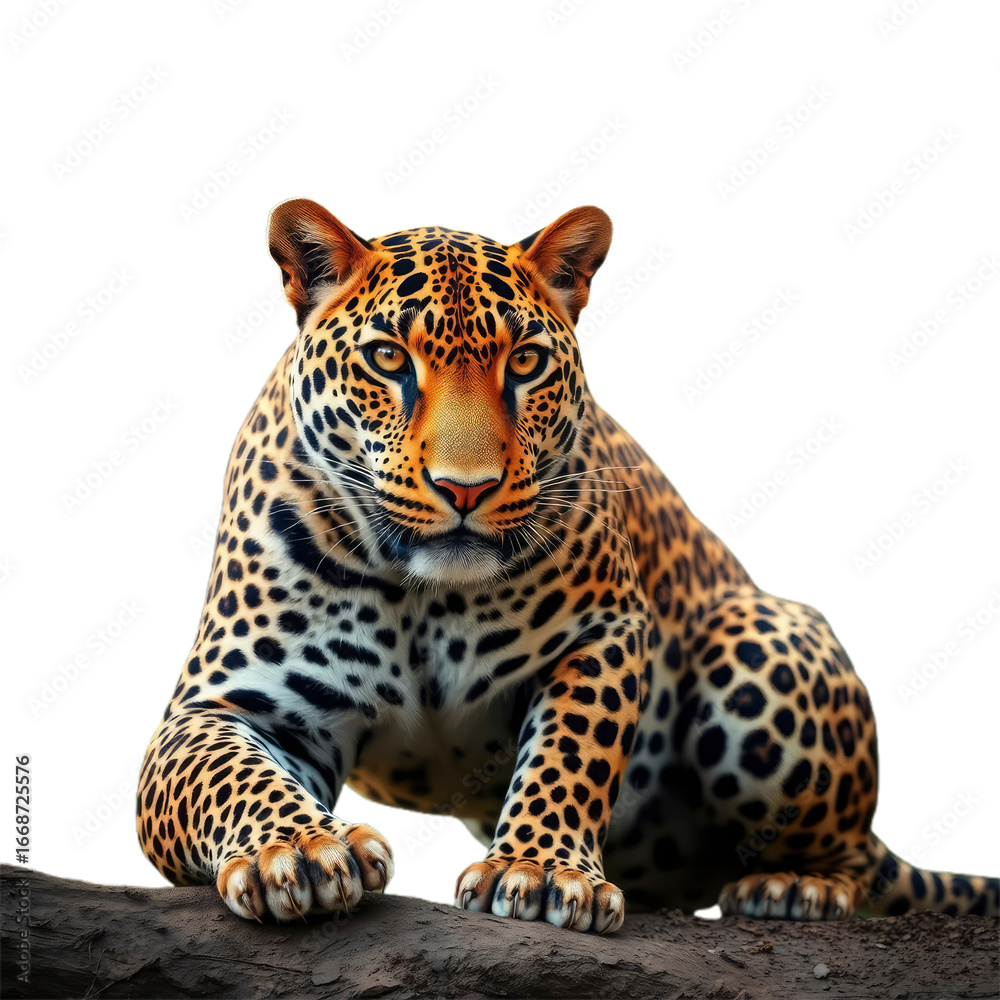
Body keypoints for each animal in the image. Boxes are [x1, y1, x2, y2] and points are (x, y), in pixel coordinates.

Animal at [137, 197, 998, 932]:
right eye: (386, 358)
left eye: (524, 362)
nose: (465, 488)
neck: (422, 594)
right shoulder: (224, 705)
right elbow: (227, 774)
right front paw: (300, 851)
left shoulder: (603, 631)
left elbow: (573, 748)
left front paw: (541, 870)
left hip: (755, 637)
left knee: (848, 853)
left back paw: (796, 886)